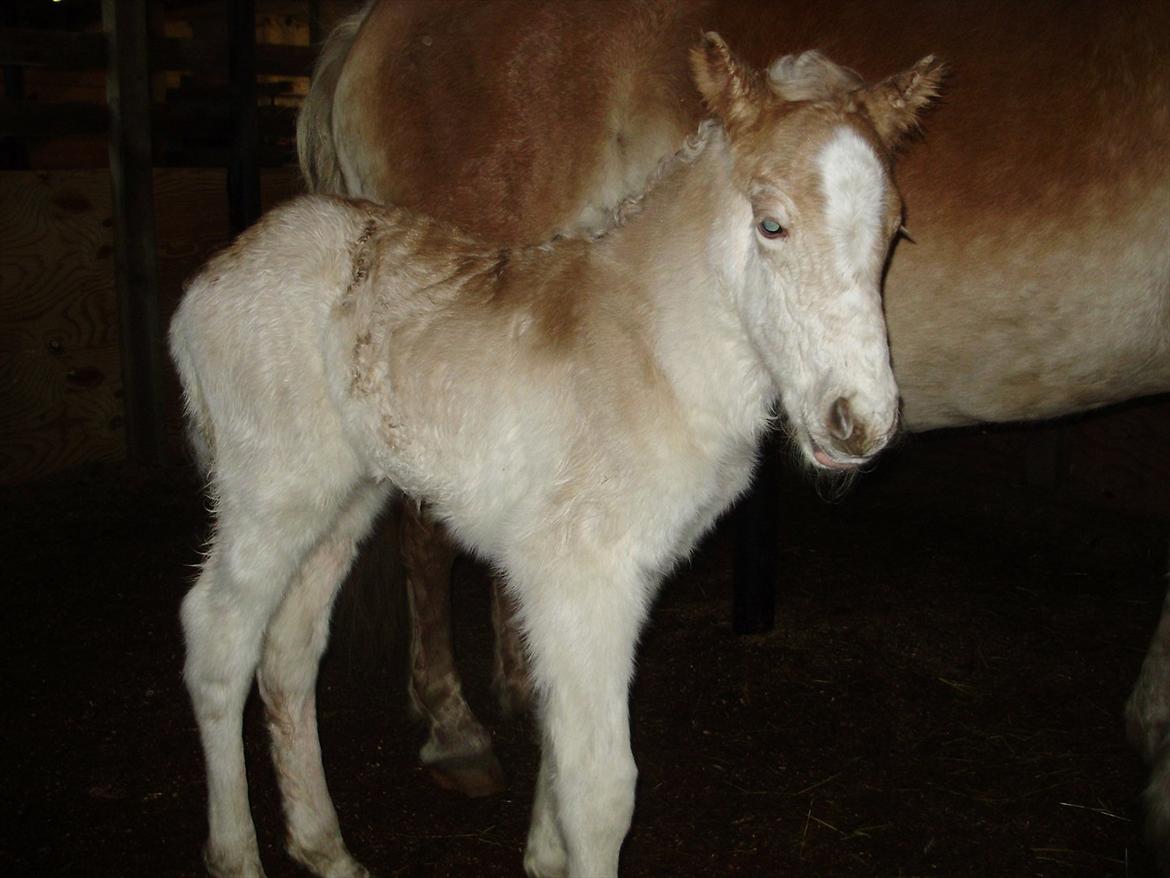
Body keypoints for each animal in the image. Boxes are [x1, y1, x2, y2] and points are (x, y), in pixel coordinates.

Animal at [299, 0, 1170, 861]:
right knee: (425, 528)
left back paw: (519, 683)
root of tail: (369, 25)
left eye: (896, 232)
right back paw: (456, 732)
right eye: (771, 226)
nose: (861, 421)